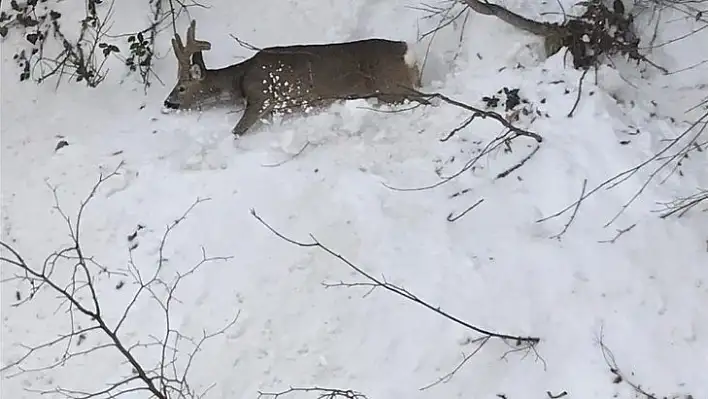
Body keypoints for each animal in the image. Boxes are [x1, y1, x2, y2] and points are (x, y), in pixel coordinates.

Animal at [162, 19, 424, 136]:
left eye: (182, 87)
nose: (167, 102)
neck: (239, 80)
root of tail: (407, 52)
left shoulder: (262, 97)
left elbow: (237, 130)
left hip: (391, 87)